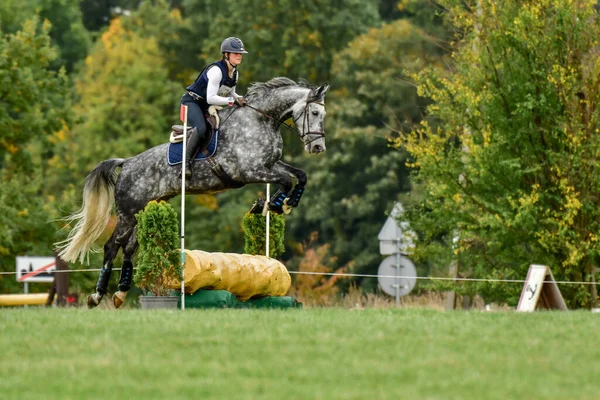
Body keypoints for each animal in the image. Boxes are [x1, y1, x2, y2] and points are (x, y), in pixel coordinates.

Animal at [56, 79, 328, 310]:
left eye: (323, 115)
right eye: (315, 113)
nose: (318, 147)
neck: (261, 120)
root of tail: (128, 162)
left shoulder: (270, 165)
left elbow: (299, 175)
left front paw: (282, 203)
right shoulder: (249, 170)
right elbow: (285, 180)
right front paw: (272, 205)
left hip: (144, 208)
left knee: (130, 247)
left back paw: (121, 293)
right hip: (128, 213)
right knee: (112, 246)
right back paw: (96, 295)